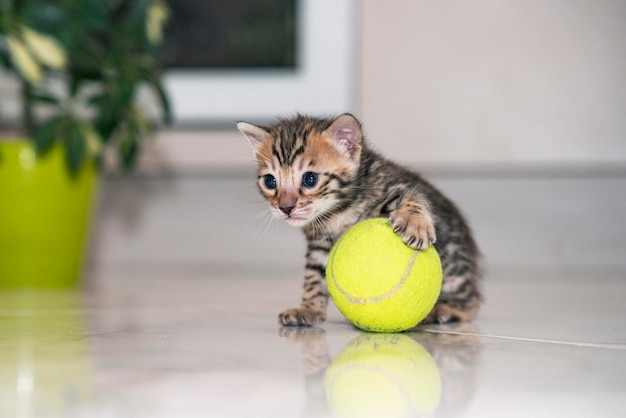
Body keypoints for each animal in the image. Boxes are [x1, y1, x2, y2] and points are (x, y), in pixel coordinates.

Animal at [236, 113, 480, 326]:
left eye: (310, 179)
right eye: (270, 181)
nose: (285, 208)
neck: (338, 212)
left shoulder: (392, 186)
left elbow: (413, 196)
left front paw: (415, 225)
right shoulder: (319, 243)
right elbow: (314, 277)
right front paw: (309, 309)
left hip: (454, 267)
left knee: (474, 300)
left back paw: (446, 309)